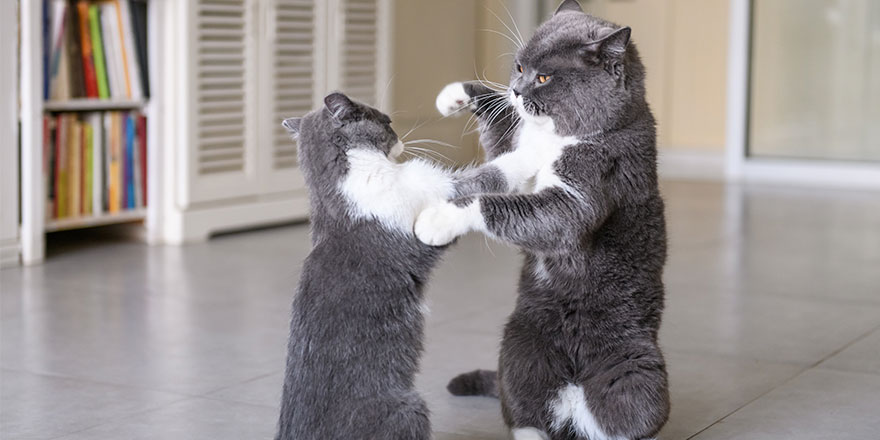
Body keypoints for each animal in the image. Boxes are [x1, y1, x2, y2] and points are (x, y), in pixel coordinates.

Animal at [416, 1, 672, 438]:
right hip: (518, 350)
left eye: (545, 77)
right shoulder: (518, 154)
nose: (517, 90)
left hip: (638, 376)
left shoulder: (583, 190)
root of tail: (572, 395)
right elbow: (497, 155)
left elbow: (508, 208)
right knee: (526, 413)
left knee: (624, 416)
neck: (555, 138)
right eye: (519, 67)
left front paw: (438, 218)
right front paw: (454, 95)